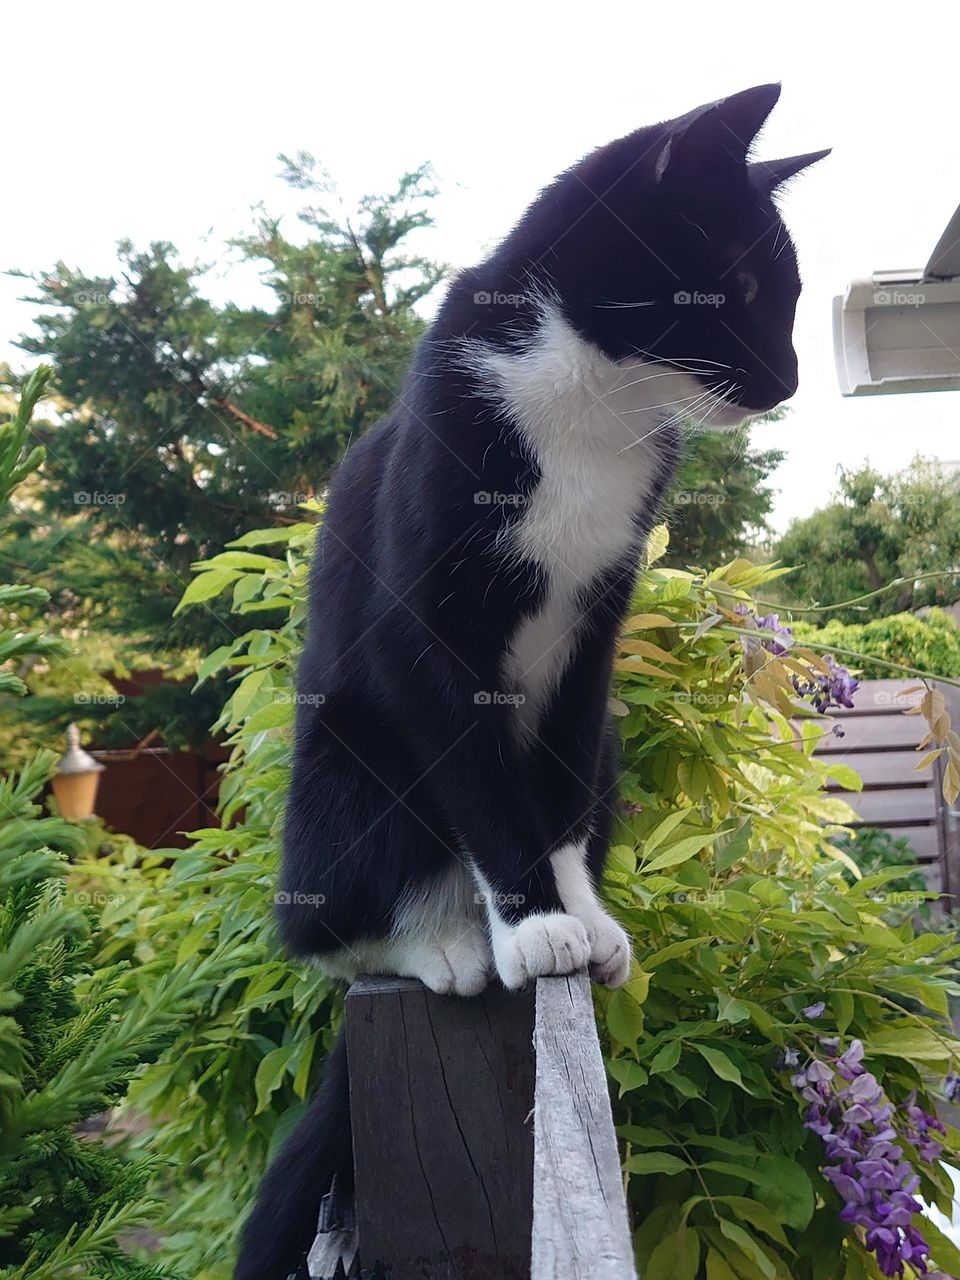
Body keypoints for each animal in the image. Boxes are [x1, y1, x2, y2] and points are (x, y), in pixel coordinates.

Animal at [232, 82, 829, 1280]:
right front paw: (532, 921)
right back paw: (442, 935)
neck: (592, 397)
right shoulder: (423, 622)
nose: (787, 381)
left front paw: (576, 914)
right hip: (350, 757)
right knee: (321, 927)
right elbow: (477, 770)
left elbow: (552, 774)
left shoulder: (598, 619)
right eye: (744, 290)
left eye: (787, 298)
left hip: (605, 737)